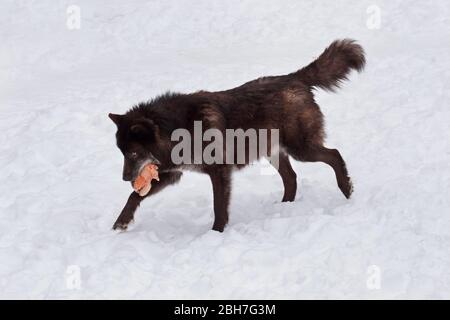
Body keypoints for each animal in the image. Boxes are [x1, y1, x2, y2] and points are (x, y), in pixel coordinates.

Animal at [109, 39, 366, 232]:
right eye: (122, 153)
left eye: (133, 153)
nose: (124, 178)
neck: (177, 129)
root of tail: (294, 77)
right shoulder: (173, 174)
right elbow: (134, 196)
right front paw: (121, 223)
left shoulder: (220, 171)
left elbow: (219, 207)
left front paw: (216, 233)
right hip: (274, 153)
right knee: (291, 178)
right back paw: (283, 209)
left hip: (301, 149)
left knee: (334, 155)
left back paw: (346, 189)